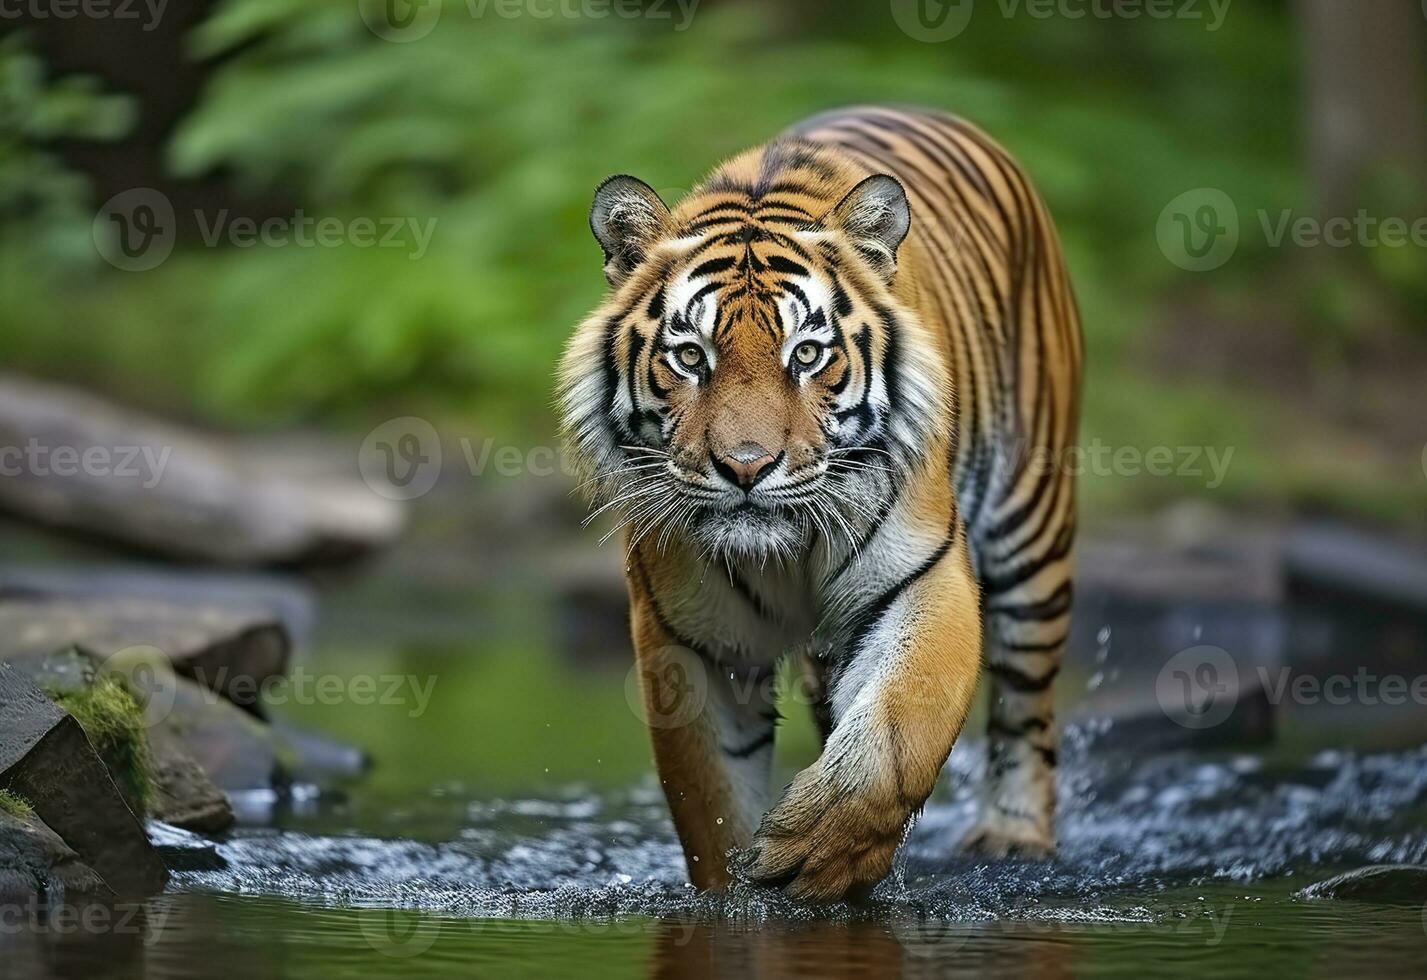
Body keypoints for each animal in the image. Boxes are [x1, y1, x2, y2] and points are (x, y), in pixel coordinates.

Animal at [556, 103, 1078, 901]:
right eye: (689, 357)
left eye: (806, 354)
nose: (745, 467)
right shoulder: (689, 641)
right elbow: (711, 799)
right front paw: (740, 889)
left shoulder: (925, 578)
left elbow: (898, 728)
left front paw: (820, 848)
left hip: (1031, 532)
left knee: (1027, 704)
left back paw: (1013, 837)